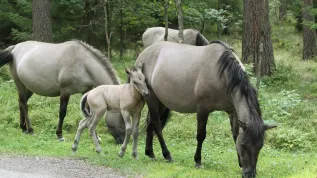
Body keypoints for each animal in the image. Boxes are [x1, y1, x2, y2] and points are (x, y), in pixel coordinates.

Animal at [135, 40, 276, 178]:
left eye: (260, 146)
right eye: (243, 145)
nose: (249, 174)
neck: (222, 74)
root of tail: (143, 54)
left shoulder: (232, 111)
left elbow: (235, 135)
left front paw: (240, 163)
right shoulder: (203, 109)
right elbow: (201, 135)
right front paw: (197, 161)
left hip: (161, 103)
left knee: (150, 124)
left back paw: (150, 153)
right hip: (151, 99)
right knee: (157, 126)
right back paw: (167, 155)